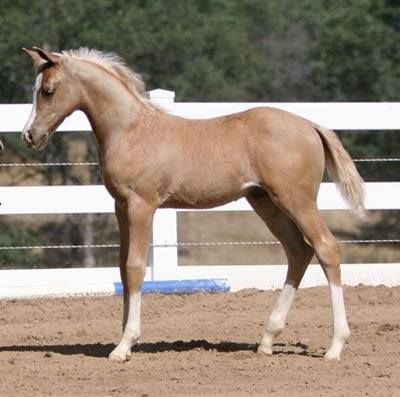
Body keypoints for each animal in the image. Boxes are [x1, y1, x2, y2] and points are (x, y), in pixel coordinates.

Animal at [22, 47, 366, 362]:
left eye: (48, 91)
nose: (29, 135)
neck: (131, 131)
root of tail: (311, 125)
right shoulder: (121, 207)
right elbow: (122, 268)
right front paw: (124, 339)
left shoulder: (141, 205)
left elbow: (135, 267)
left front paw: (124, 345)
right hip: (265, 202)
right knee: (298, 251)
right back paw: (267, 339)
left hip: (296, 200)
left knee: (326, 248)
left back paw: (335, 346)